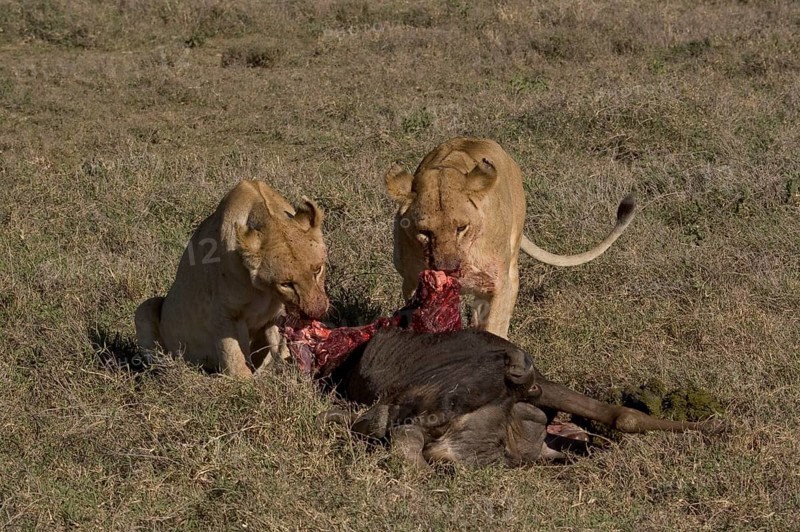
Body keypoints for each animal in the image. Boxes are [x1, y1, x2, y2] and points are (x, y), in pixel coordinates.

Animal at [134, 180, 329, 377]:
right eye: (286, 284)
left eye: (318, 270)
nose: (317, 312)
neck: (264, 291)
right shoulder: (224, 313)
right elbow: (234, 356)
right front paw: (246, 383)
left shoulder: (281, 313)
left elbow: (282, 347)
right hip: (145, 308)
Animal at [385, 137, 635, 338]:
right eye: (424, 233)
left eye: (461, 228)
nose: (448, 269)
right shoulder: (411, 284)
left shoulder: (498, 284)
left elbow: (494, 326)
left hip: (511, 266)